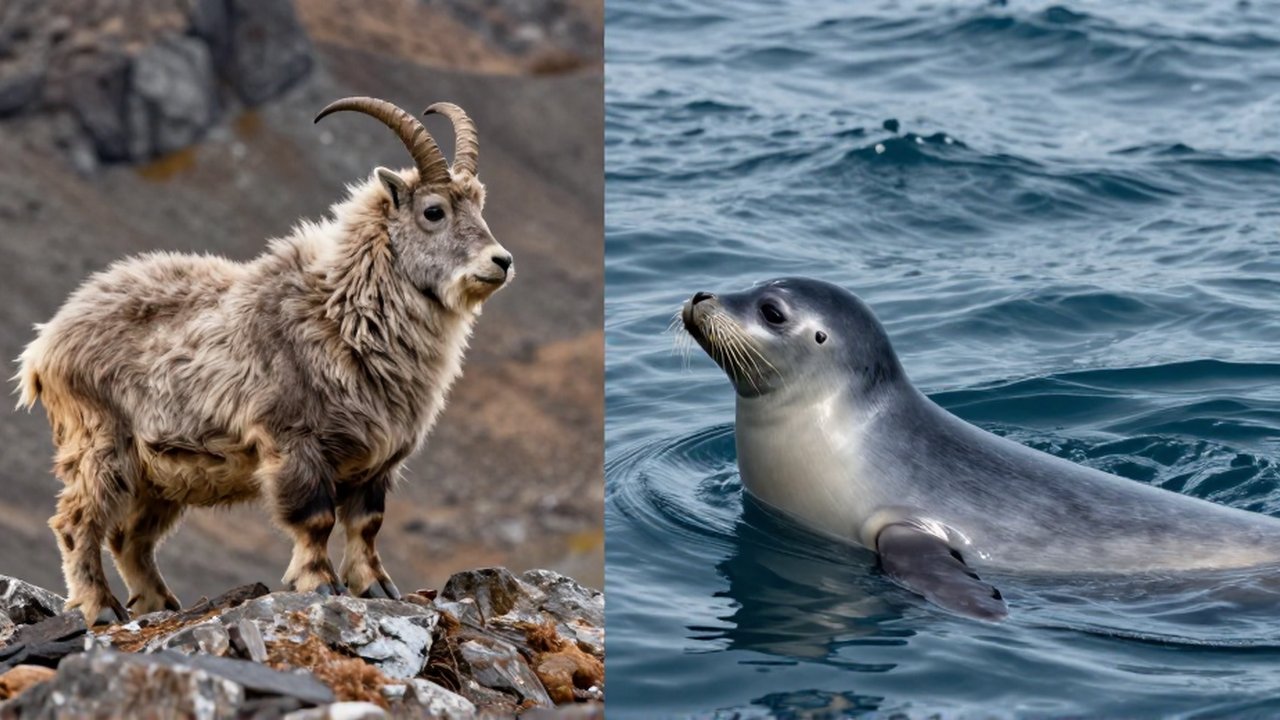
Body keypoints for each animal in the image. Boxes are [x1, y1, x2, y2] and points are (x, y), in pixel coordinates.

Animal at [14, 97, 514, 625]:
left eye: (479, 205)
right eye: (433, 211)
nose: (501, 261)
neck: (341, 314)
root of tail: (44, 344)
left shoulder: (376, 461)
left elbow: (367, 523)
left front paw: (376, 586)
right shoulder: (294, 441)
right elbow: (316, 519)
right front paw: (318, 582)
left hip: (160, 476)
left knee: (131, 537)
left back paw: (159, 604)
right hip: (100, 443)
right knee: (76, 521)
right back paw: (102, 608)